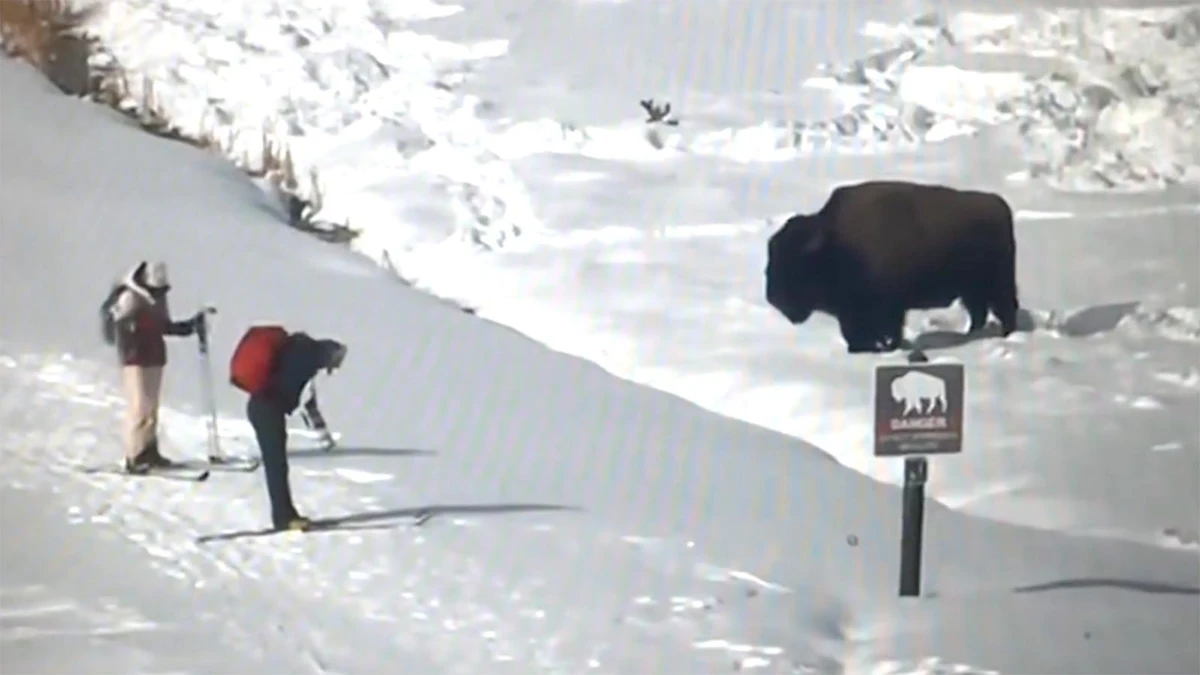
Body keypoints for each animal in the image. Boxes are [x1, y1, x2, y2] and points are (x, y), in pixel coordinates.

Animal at [764, 180, 1020, 354]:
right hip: (971, 290)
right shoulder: (853, 313)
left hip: (995, 284)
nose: (773, 298)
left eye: (794, 264)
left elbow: (886, 330)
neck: (836, 244)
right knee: (979, 313)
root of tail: (999, 206)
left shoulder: (887, 308)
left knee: (1004, 309)